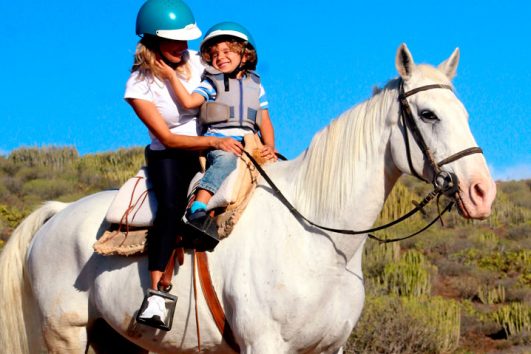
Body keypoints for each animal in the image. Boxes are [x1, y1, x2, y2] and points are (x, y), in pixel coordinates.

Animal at [1, 45, 498, 354]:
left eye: (465, 113)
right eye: (428, 114)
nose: (482, 192)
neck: (318, 238)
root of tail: (57, 214)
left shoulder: (330, 347)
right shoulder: (266, 343)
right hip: (65, 336)